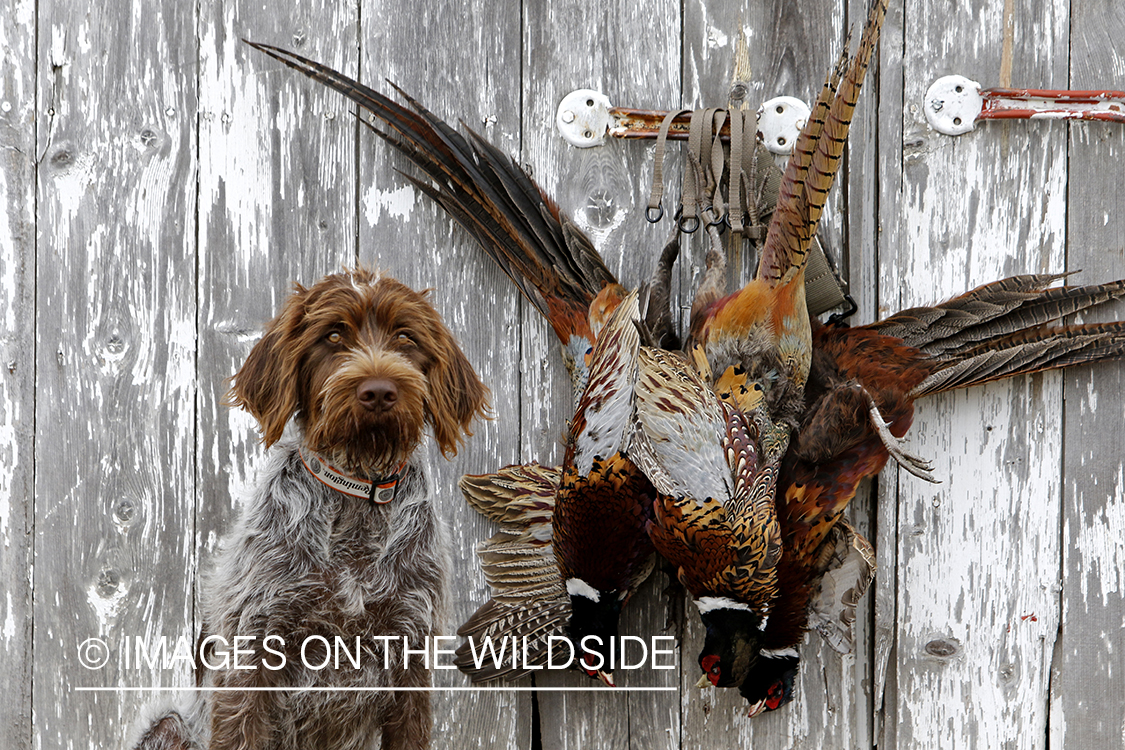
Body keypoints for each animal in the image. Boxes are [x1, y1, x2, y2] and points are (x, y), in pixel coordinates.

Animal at [129, 269, 486, 750]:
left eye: (405, 336)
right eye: (333, 335)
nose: (379, 392)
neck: (356, 492)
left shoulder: (410, 652)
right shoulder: (254, 648)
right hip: (167, 722)